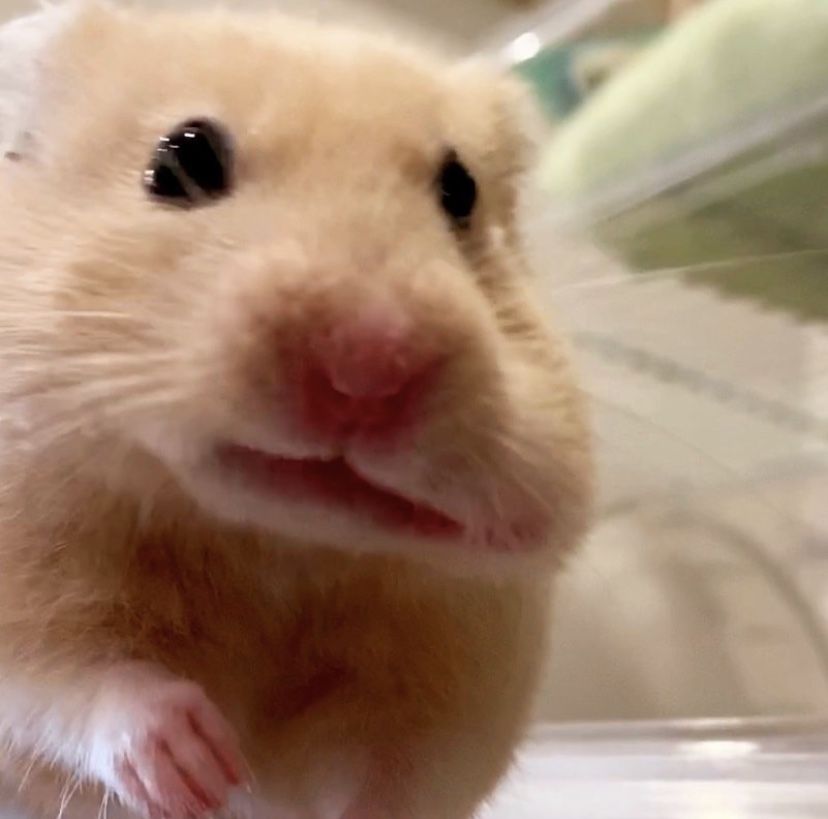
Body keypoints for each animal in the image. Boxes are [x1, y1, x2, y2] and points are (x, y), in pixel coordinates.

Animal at [0, 4, 592, 819]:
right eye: (183, 159)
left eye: (460, 191)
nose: (367, 365)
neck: (274, 541)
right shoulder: (28, 601)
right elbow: (82, 683)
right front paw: (202, 768)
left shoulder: (457, 679)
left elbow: (388, 774)